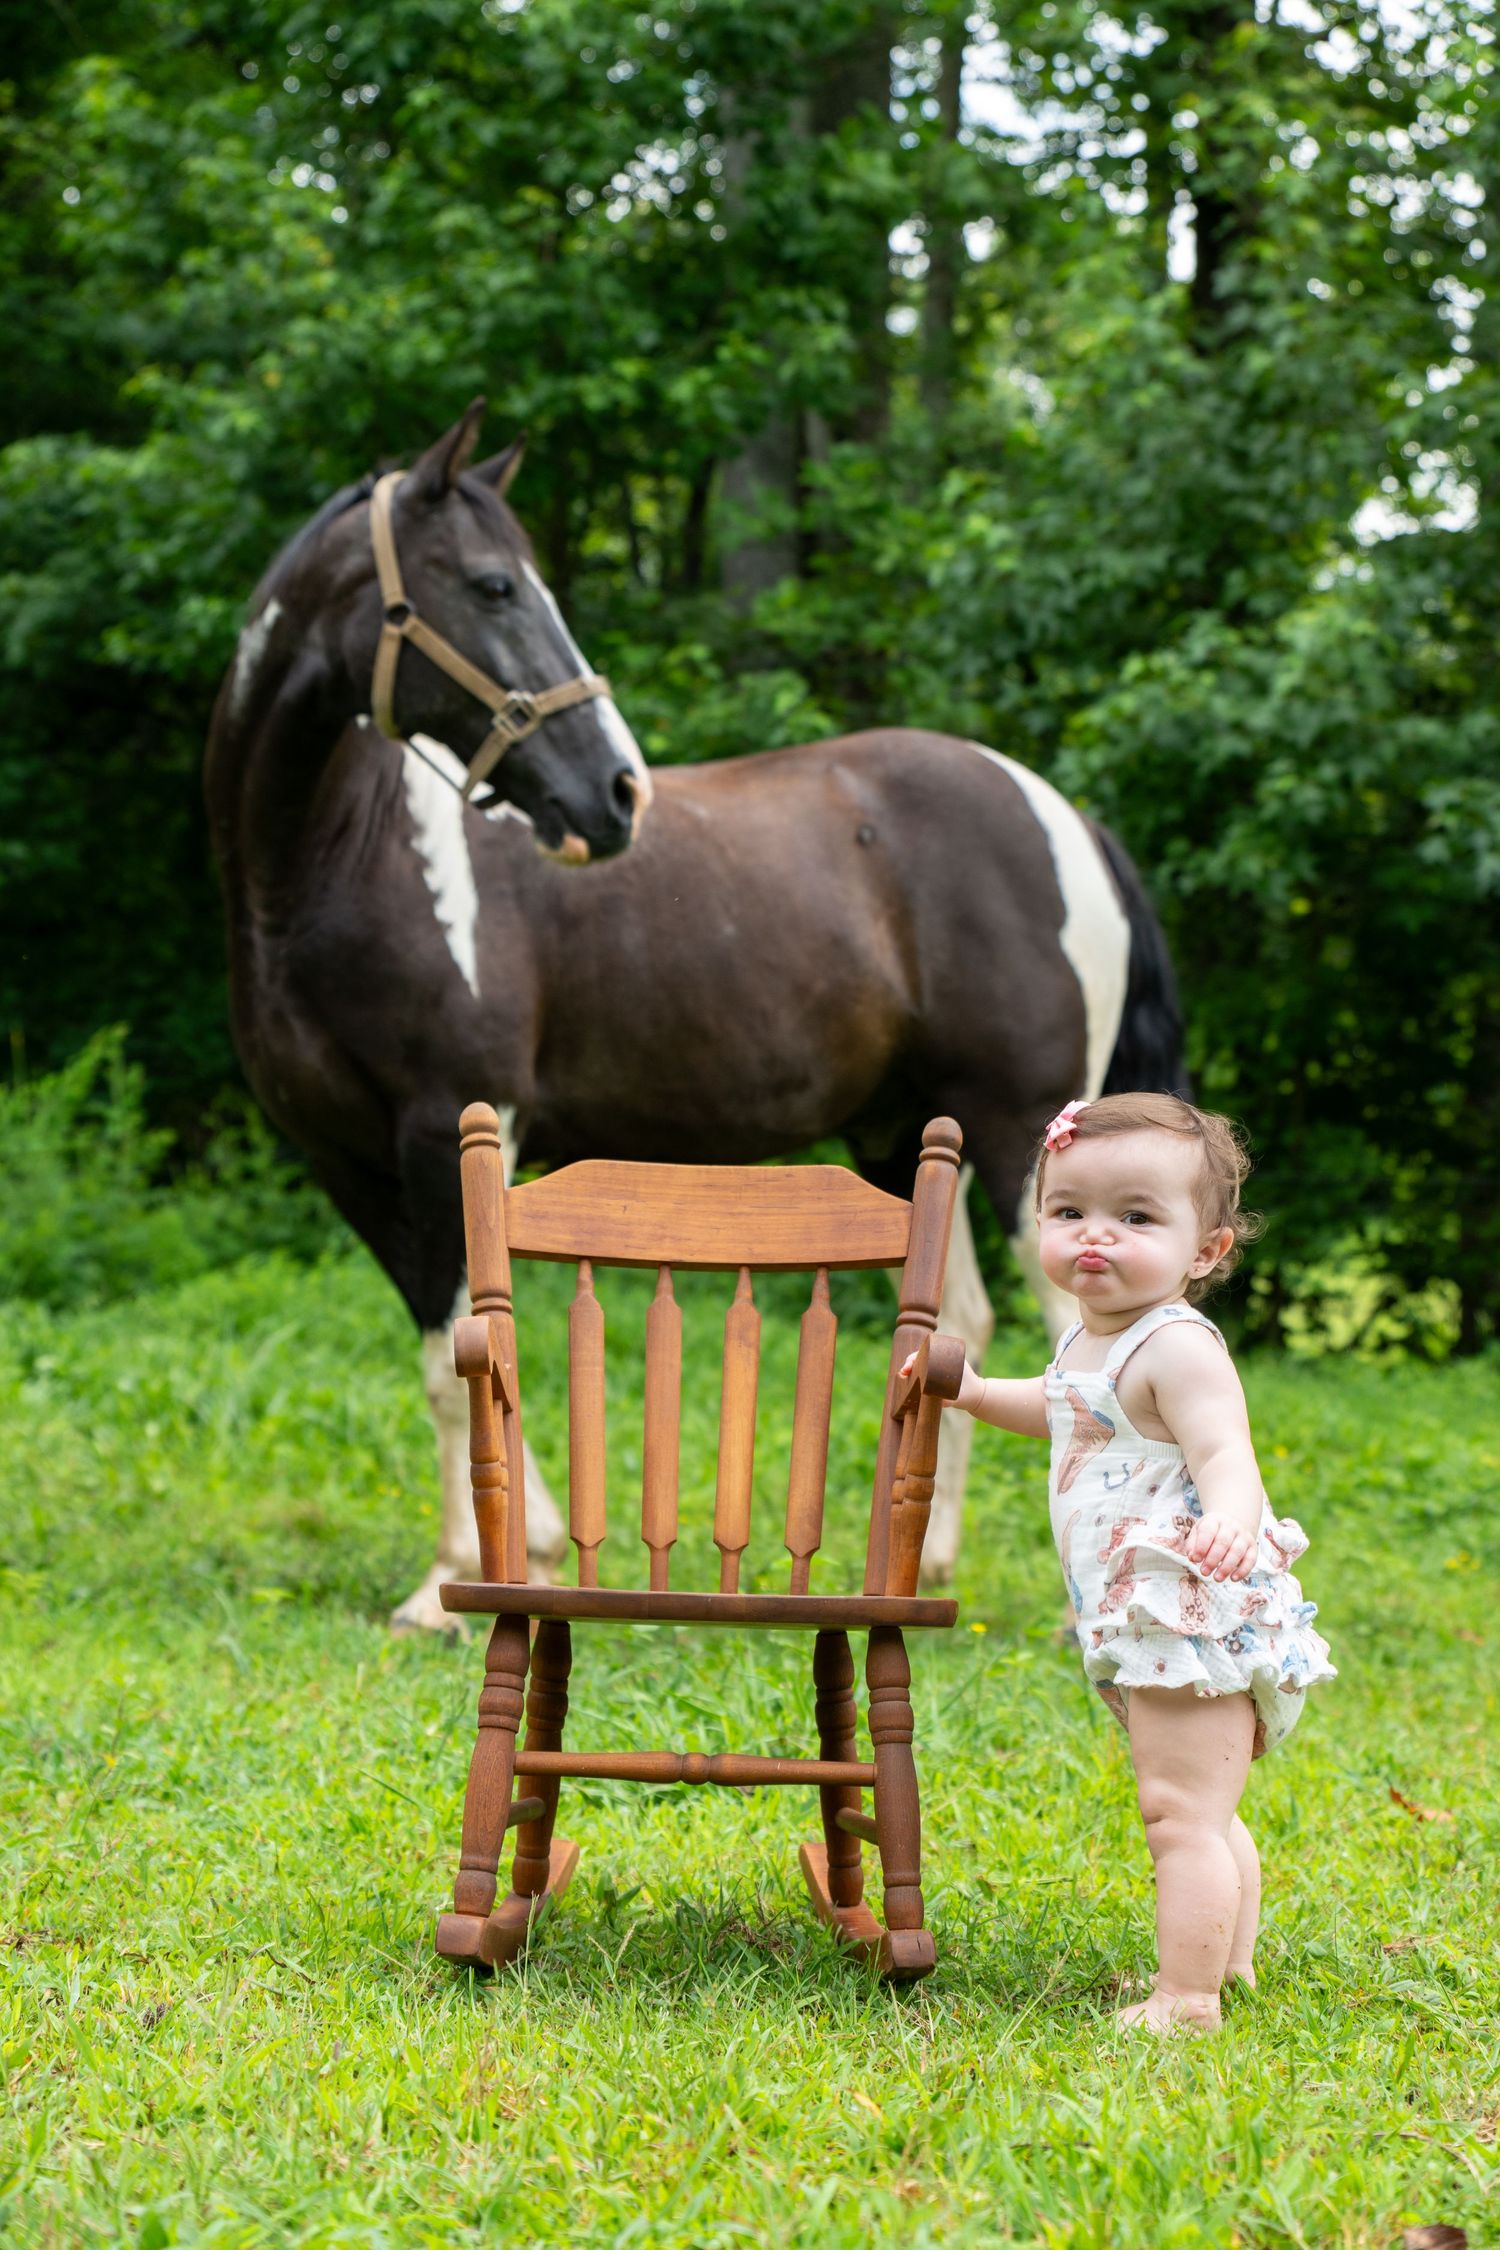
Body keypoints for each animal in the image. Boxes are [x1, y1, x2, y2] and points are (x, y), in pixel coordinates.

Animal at [206, 402, 1186, 1632]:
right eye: (491, 586)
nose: (615, 793)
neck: (346, 861)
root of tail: (1064, 817)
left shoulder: (447, 1132)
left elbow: (456, 1348)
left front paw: (449, 1587)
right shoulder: (348, 1162)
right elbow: (450, 1349)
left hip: (1023, 1139)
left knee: (1076, 1333)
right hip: (915, 1139)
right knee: (965, 1318)